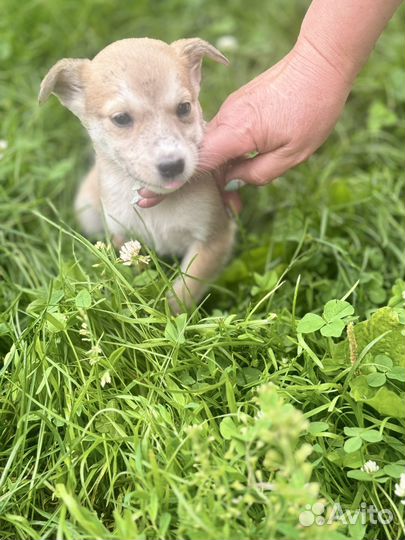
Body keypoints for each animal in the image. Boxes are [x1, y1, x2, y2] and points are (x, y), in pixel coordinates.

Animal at [38, 38, 234, 312]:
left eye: (184, 108)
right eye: (121, 118)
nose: (173, 165)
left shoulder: (213, 238)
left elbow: (185, 289)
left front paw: (169, 313)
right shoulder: (124, 235)